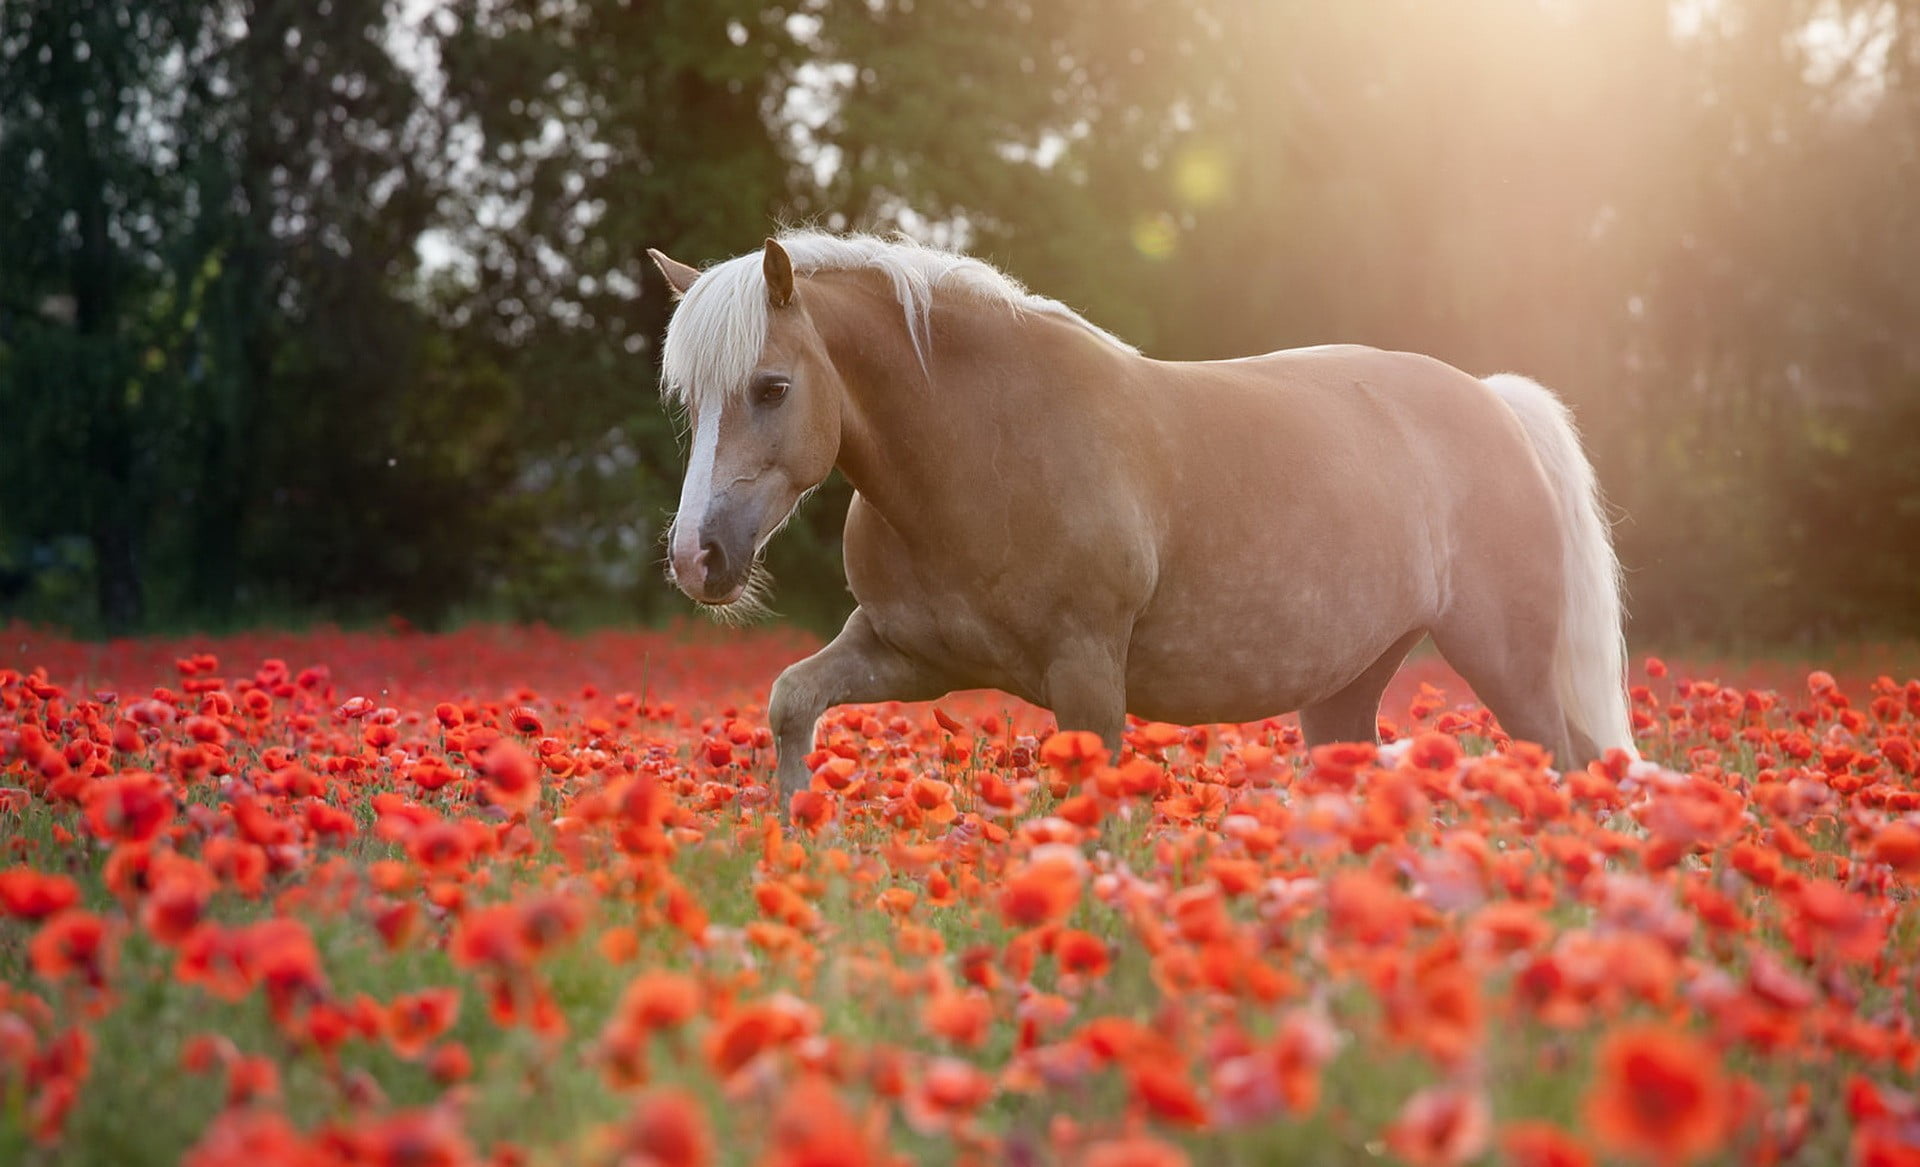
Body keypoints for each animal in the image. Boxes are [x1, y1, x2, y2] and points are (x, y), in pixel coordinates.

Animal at [648, 228, 1635, 809]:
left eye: (772, 387)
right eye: (690, 399)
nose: (698, 558)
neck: (989, 446)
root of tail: (1495, 403)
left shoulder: (1087, 674)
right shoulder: (908, 656)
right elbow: (789, 702)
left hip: (1505, 662)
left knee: (1563, 763)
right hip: (1348, 689)